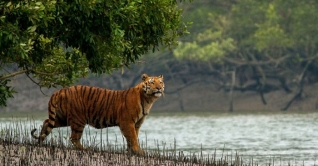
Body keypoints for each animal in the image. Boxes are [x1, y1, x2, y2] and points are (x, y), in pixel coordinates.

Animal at [30, 73, 164, 155]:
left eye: (161, 82)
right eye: (152, 82)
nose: (159, 88)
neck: (148, 100)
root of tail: (59, 91)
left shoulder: (136, 124)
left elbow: (133, 137)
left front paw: (132, 151)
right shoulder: (127, 122)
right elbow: (132, 137)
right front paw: (138, 151)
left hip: (62, 118)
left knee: (47, 122)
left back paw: (40, 141)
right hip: (78, 120)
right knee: (73, 137)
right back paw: (85, 149)